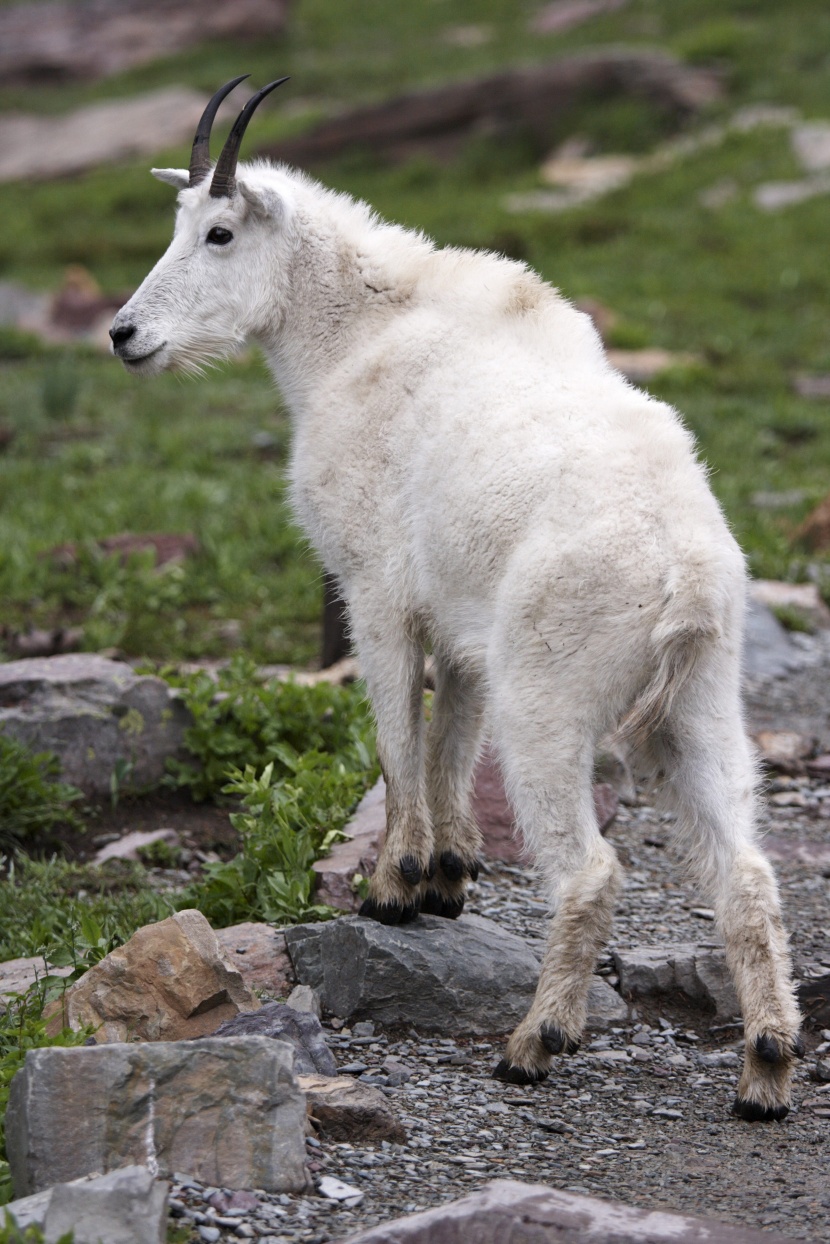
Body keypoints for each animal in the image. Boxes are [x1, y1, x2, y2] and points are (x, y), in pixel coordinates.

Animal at [110, 80, 806, 1129]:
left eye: (220, 232)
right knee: (747, 872)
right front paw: (450, 875)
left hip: (551, 700)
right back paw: (765, 1068)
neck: (354, 336)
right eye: (178, 222)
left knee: (590, 870)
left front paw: (396, 886)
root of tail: (685, 575)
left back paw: (536, 1043)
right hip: (703, 704)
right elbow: (450, 733)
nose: (125, 335)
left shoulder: (374, 588)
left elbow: (399, 731)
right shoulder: (465, 625)